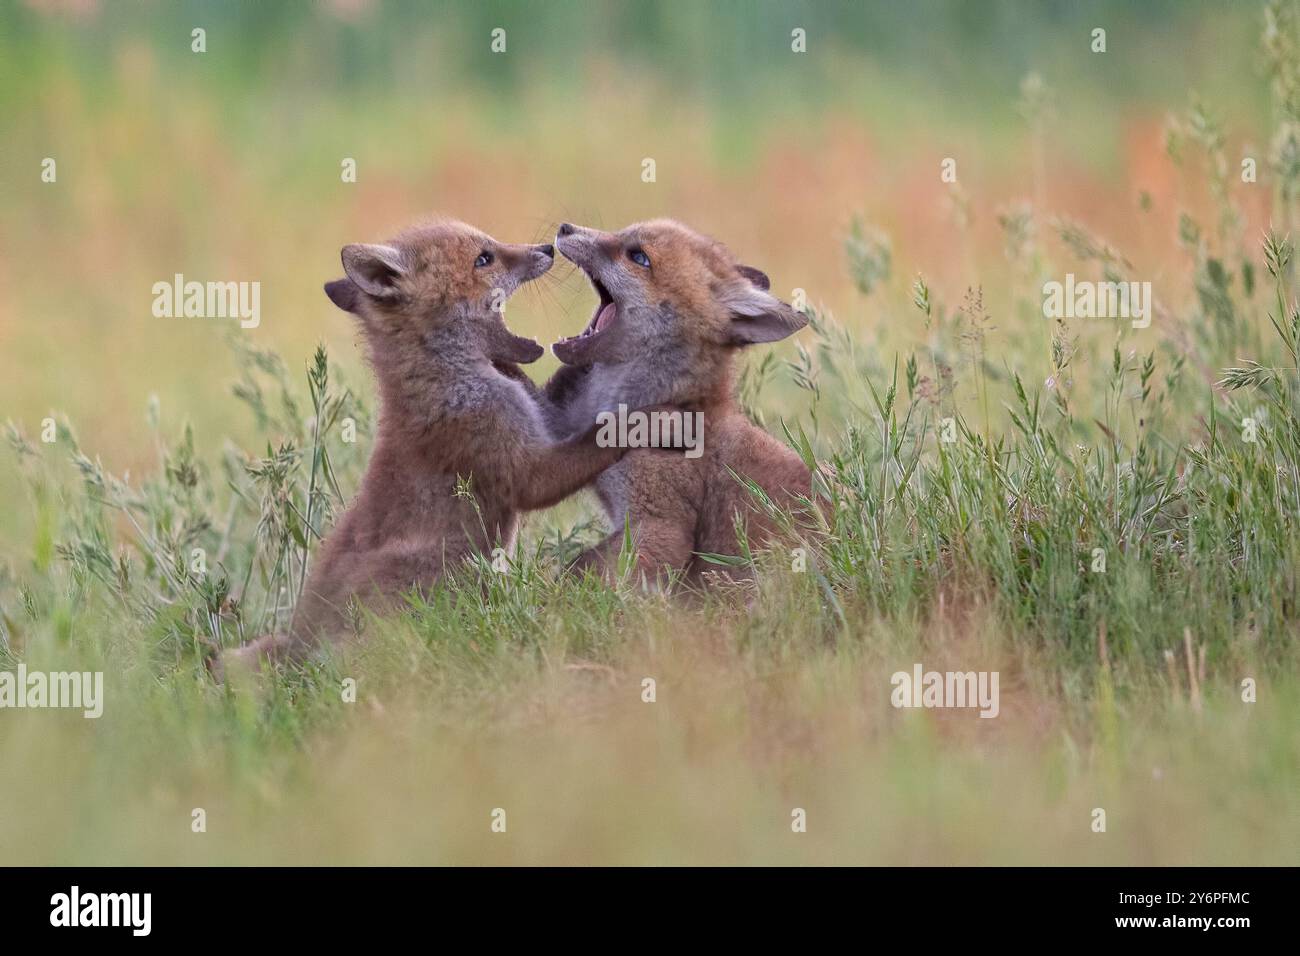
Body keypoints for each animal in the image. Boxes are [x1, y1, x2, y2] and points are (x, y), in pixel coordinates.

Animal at [218, 218, 652, 674]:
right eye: (485, 258)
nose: (546, 248)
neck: (448, 380)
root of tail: (298, 646)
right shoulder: (523, 472)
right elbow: (592, 443)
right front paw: (641, 418)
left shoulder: (540, 419)